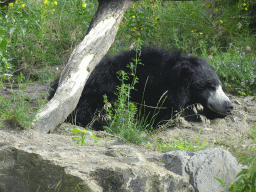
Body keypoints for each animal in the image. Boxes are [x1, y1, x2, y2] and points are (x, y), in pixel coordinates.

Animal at [48, 47, 234, 130]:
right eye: (210, 86)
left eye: (220, 86)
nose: (229, 105)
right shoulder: (152, 90)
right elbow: (158, 113)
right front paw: (194, 113)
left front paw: (199, 111)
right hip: (95, 96)